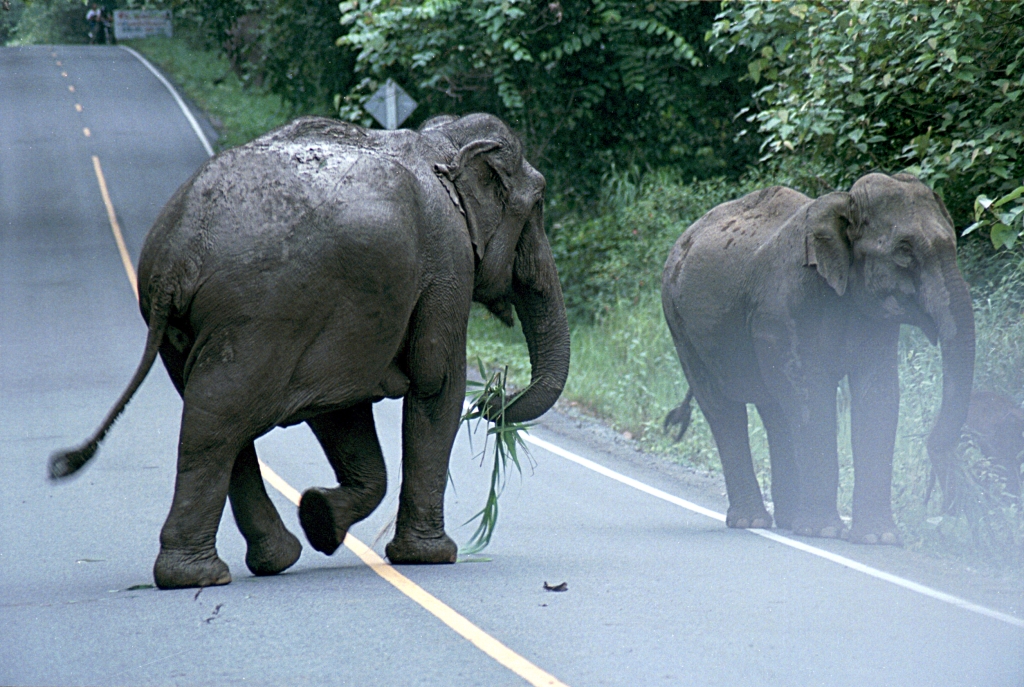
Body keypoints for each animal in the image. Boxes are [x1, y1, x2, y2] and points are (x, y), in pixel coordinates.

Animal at [49, 113, 570, 589]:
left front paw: (320, 517)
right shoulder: (446, 262)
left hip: (201, 333)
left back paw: (269, 559)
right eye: (540, 202)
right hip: (262, 316)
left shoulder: (343, 322)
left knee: (214, 418)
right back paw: (198, 576)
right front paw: (431, 557)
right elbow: (436, 383)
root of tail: (176, 257)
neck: (438, 142)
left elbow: (342, 411)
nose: (492, 402)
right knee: (219, 421)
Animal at [662, 173, 975, 544]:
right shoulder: (784, 308)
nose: (943, 505)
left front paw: (878, 538)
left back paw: (787, 519)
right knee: (725, 411)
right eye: (903, 251)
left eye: (952, 244)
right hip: (680, 323)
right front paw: (824, 531)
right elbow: (810, 394)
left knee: (775, 412)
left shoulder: (874, 318)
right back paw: (753, 521)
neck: (844, 205)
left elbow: (878, 396)